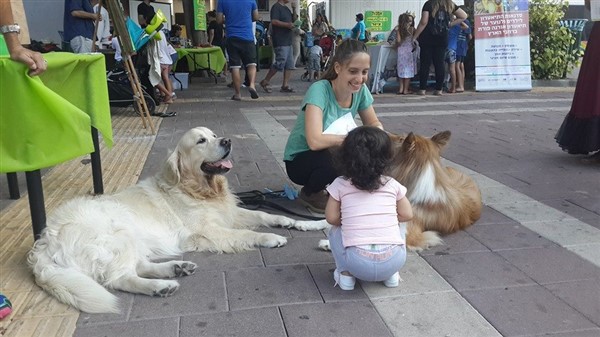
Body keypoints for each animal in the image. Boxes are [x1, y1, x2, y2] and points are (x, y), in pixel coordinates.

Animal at [28, 125, 328, 312]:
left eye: (214, 134)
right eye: (201, 141)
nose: (227, 141)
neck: (199, 188)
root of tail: (44, 242)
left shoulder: (229, 213)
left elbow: (265, 214)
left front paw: (301, 223)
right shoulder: (208, 230)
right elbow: (247, 233)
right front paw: (272, 237)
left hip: (131, 240)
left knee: (139, 265)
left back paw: (176, 268)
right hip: (117, 235)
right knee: (120, 278)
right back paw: (162, 286)